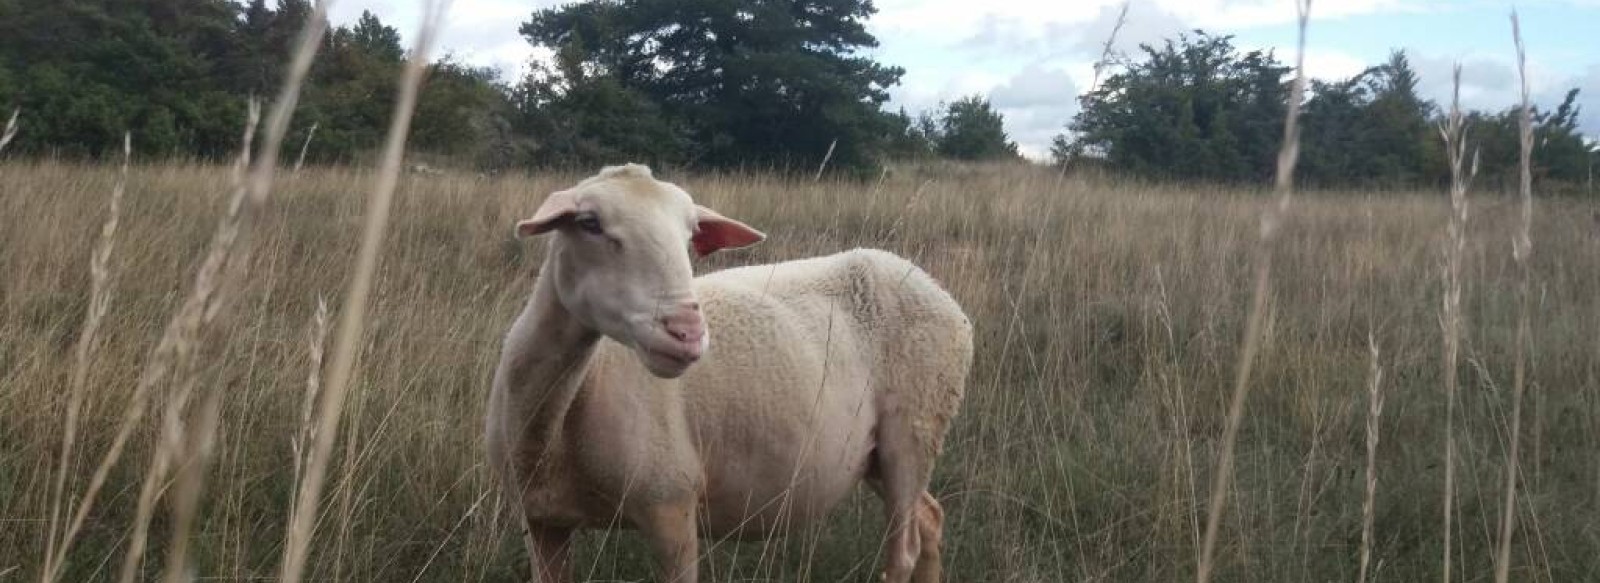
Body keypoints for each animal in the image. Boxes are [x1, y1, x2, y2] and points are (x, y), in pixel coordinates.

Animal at [480, 164, 966, 583]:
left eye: (691, 234)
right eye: (589, 222)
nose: (687, 330)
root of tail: (929, 282)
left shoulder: (671, 505)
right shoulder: (541, 521)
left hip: (915, 430)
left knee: (904, 550)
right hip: (876, 453)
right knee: (930, 518)